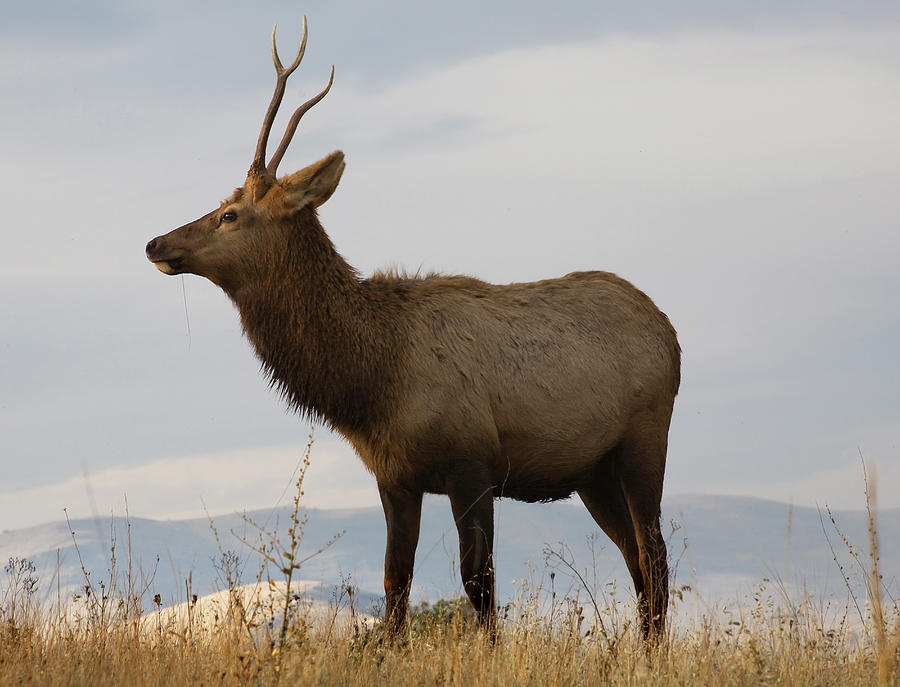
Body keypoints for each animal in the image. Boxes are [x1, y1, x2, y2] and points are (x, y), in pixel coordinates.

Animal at [146, 17, 684, 644]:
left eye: (230, 214)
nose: (155, 242)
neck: (371, 384)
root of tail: (671, 332)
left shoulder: (472, 461)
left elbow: (478, 581)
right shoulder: (395, 476)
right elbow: (394, 583)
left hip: (644, 440)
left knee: (653, 554)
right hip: (591, 471)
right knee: (635, 557)